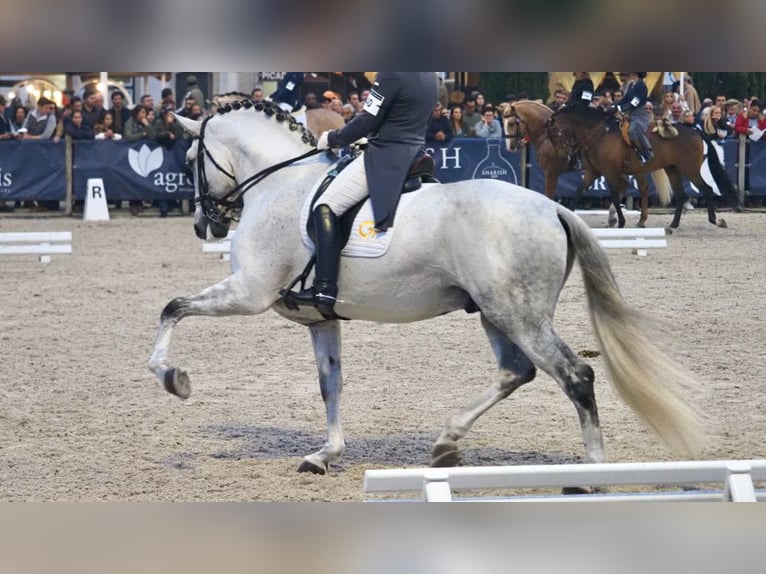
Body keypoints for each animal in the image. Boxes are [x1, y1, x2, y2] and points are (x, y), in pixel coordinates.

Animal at [147, 99, 704, 476]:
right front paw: (324, 455)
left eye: (191, 158)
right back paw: (446, 444)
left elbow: (172, 307)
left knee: (576, 375)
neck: (280, 182)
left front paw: (174, 378)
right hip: (494, 311)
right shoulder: (319, 318)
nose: (204, 225)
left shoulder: (249, 291)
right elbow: (331, 383)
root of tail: (553, 207)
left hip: (520, 314)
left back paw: (591, 473)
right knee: (516, 372)